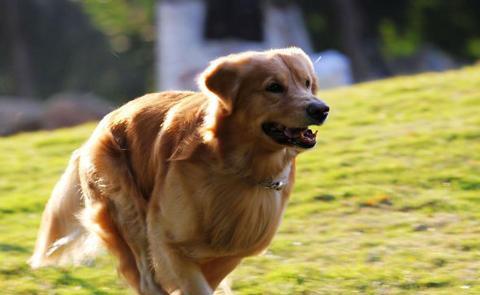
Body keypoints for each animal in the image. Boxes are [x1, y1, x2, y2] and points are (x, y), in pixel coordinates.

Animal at [30, 47, 328, 294]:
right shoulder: (166, 239)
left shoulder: (234, 248)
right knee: (146, 278)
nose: (321, 109)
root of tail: (99, 127)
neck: (235, 166)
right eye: (273, 87)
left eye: (306, 83)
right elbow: (192, 283)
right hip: (129, 211)